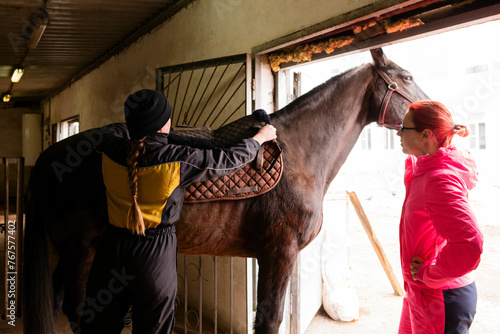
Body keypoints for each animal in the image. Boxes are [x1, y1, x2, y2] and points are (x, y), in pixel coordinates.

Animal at [23, 47, 430, 334]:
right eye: (406, 77)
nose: (437, 112)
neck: (298, 154)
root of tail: (49, 157)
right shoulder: (279, 253)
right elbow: (269, 320)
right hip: (80, 250)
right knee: (75, 309)